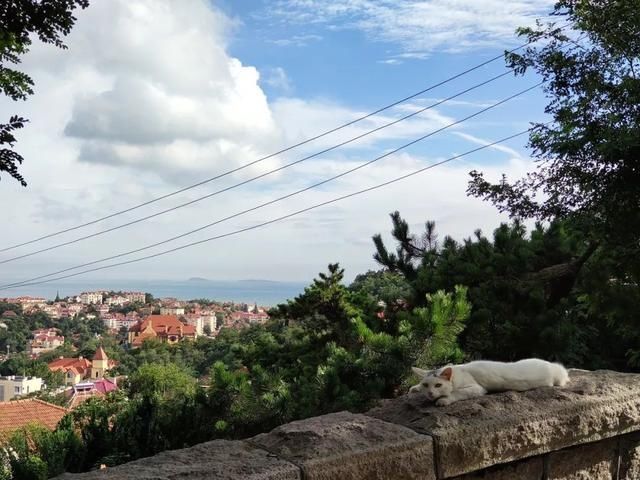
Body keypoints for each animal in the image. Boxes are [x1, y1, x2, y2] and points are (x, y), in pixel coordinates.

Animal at [408, 360, 568, 404]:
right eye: (425, 385)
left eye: (438, 385)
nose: (430, 393)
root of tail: (553, 366)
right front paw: (415, 389)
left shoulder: (477, 388)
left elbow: (457, 393)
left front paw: (444, 400)